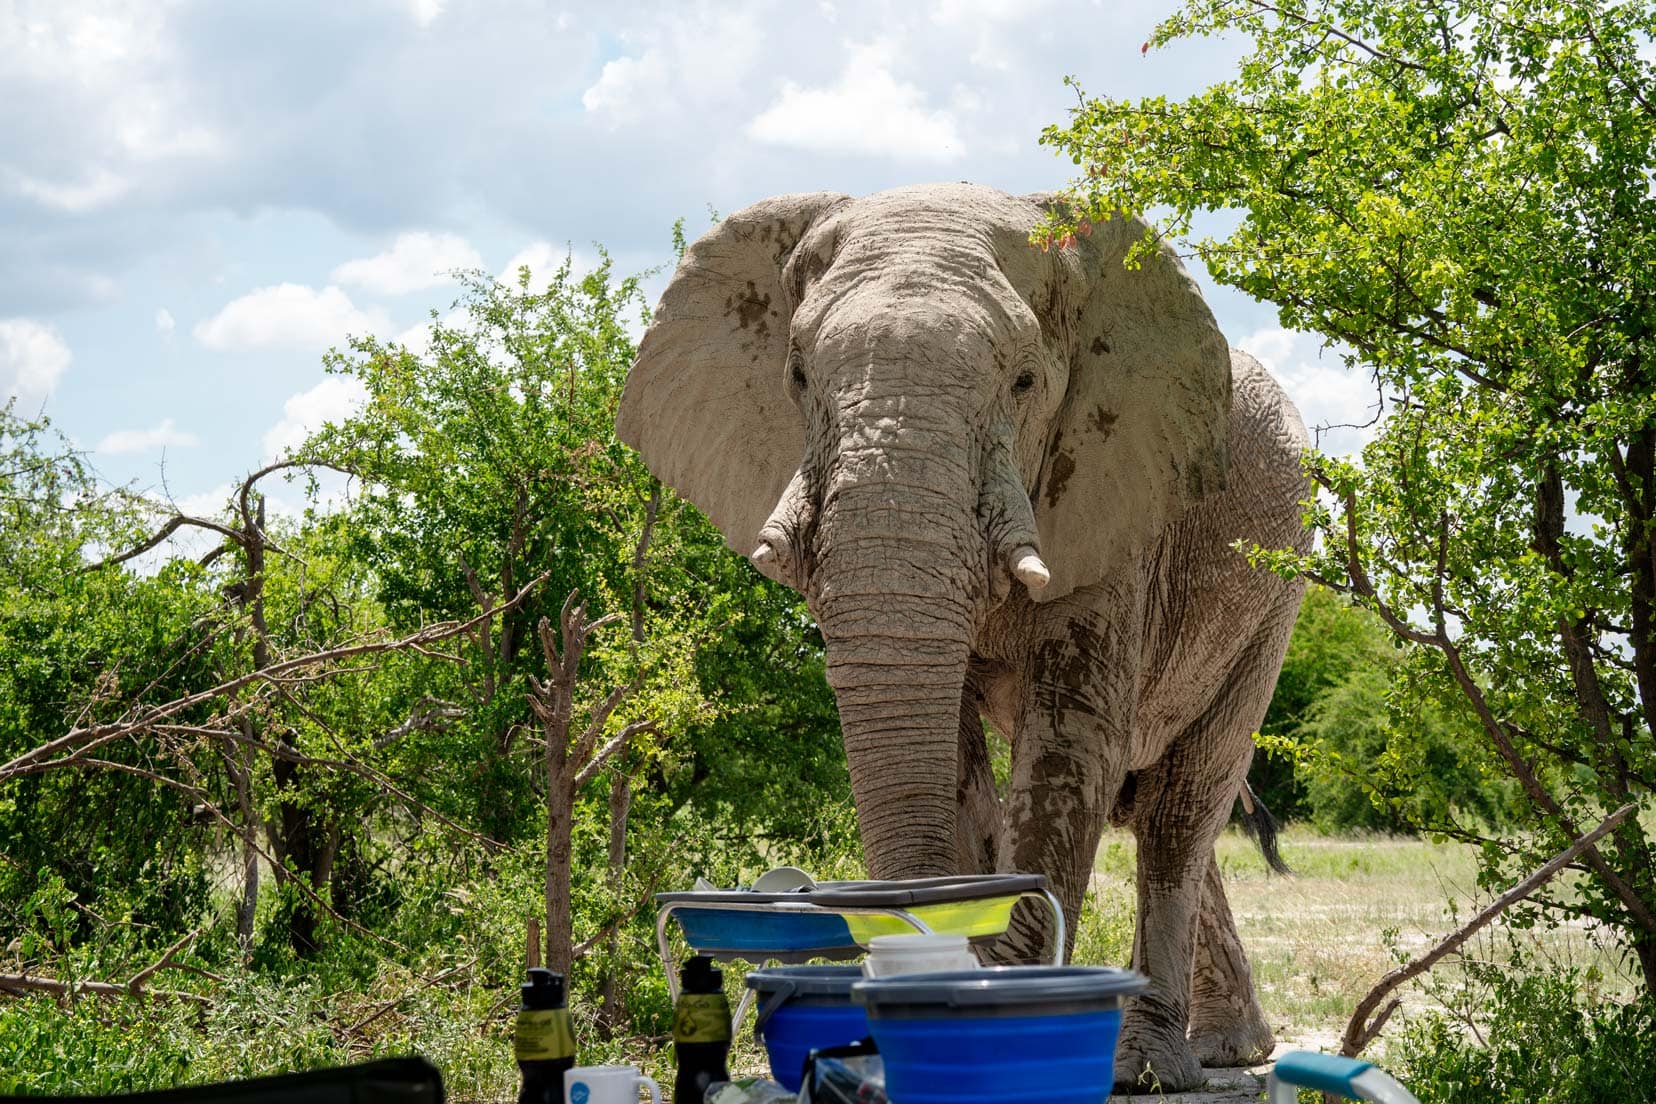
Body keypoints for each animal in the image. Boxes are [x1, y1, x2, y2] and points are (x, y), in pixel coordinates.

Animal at [616, 185, 1311, 1092]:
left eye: (1024, 381)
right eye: (797, 375)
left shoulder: (1117, 499)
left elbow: (1067, 750)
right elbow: (948, 759)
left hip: (1278, 588)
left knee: (1181, 806)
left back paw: (1155, 1069)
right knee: (1158, 804)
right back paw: (1229, 1050)